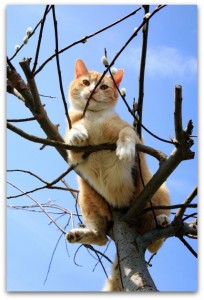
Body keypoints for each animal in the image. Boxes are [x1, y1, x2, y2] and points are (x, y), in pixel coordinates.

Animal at [64, 58, 171, 290]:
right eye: (85, 82)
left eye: (103, 86)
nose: (93, 90)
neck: (94, 117)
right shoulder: (72, 151)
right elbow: (73, 131)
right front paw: (78, 133)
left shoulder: (130, 133)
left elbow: (126, 134)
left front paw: (124, 150)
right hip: (87, 196)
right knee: (101, 237)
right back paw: (79, 234)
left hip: (157, 192)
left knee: (155, 243)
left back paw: (163, 221)